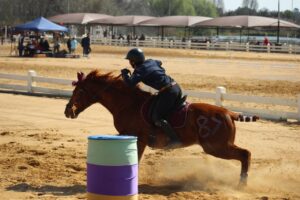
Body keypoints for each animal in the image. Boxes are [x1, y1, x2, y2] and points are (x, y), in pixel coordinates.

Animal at [65, 69, 258, 187]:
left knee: (245, 154)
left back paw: (242, 184)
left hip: (216, 147)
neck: (128, 104)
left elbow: (136, 160)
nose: (68, 111)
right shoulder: (125, 136)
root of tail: (228, 112)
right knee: (245, 154)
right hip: (219, 146)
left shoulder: (138, 139)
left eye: (79, 92)